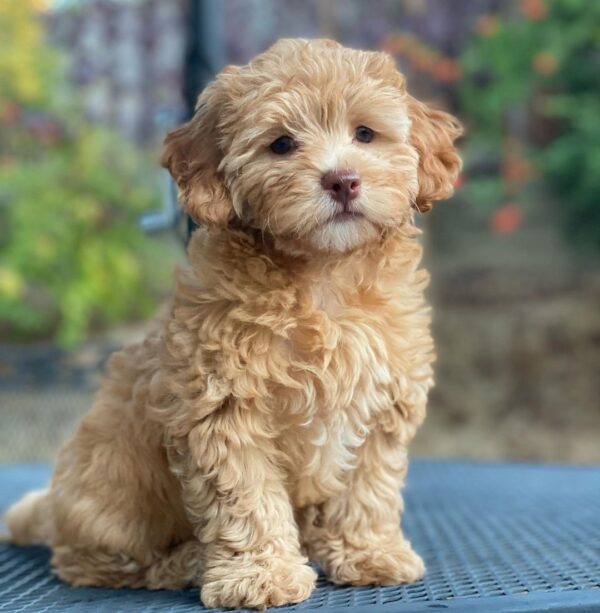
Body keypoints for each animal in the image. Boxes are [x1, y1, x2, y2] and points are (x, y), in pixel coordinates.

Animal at [4, 38, 462, 608]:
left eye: (364, 134)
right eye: (282, 144)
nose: (343, 180)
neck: (322, 277)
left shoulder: (382, 402)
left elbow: (367, 487)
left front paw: (368, 552)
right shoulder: (223, 405)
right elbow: (246, 496)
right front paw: (260, 575)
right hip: (104, 499)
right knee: (95, 561)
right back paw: (185, 562)